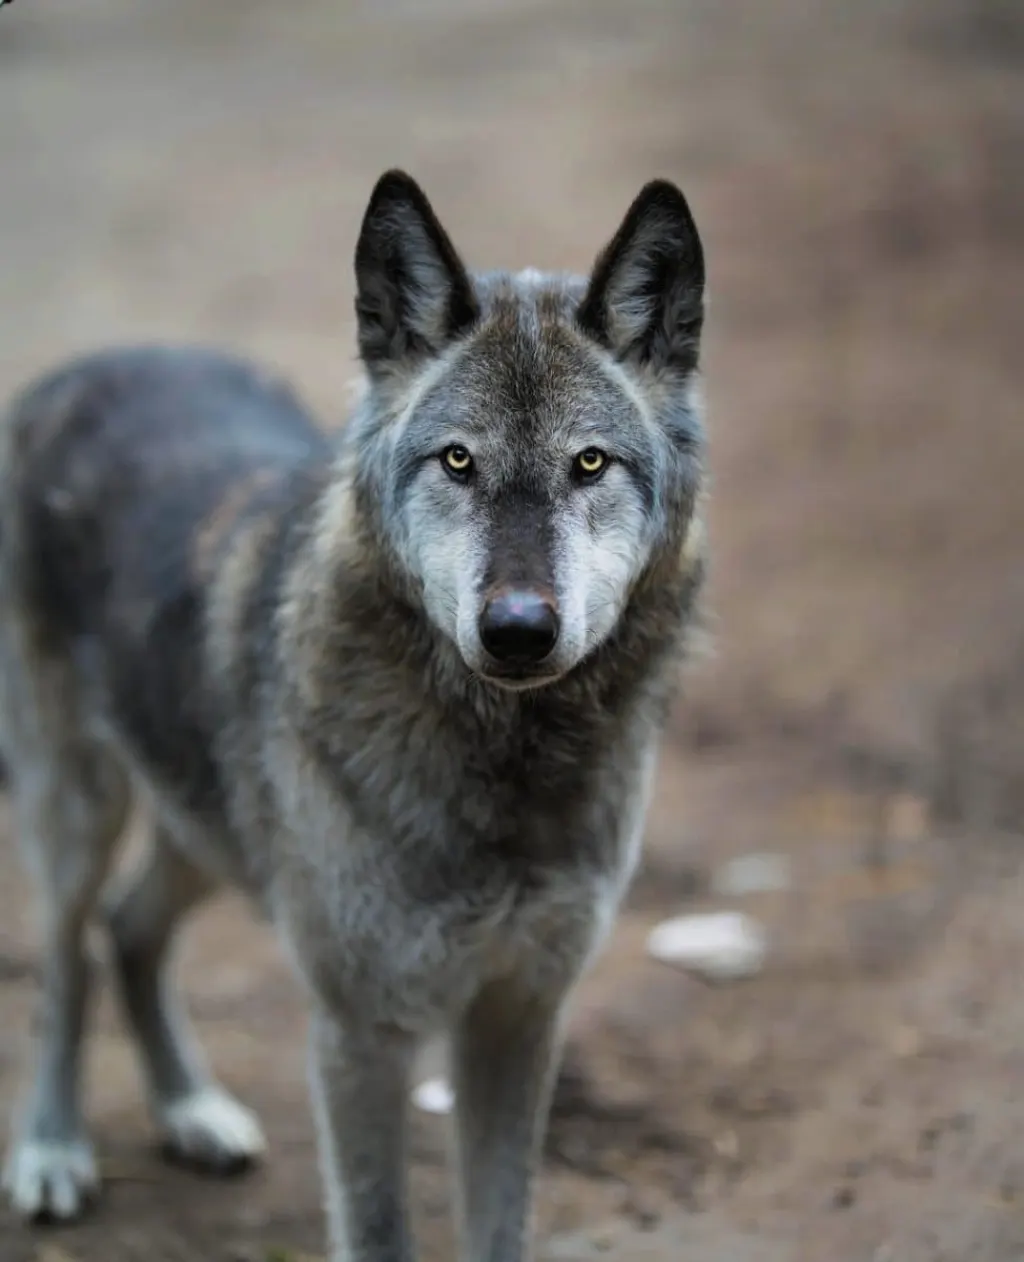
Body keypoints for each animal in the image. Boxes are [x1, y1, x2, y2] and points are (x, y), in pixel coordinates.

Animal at [0, 169, 707, 1261]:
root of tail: (78, 370)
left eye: (590, 465)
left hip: (207, 827)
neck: (505, 765)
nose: (516, 630)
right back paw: (52, 1149)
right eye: (457, 462)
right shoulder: (361, 1035)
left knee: (130, 927)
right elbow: (377, 1229)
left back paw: (191, 1110)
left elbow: (500, 1225)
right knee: (66, 958)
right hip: (77, 809)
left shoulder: (519, 1014)